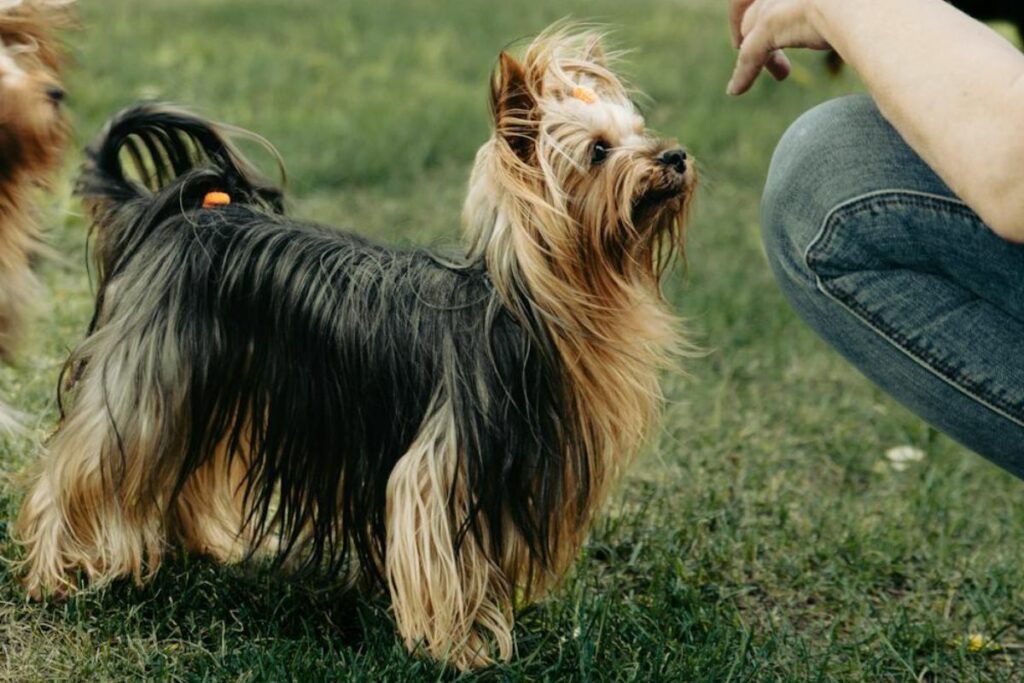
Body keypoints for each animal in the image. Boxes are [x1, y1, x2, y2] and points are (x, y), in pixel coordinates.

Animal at [18, 28, 696, 671]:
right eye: (599, 150)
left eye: (640, 131)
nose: (676, 155)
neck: (528, 304)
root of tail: (174, 214)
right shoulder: (440, 467)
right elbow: (440, 557)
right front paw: (458, 650)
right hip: (143, 381)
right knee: (77, 468)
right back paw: (53, 576)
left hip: (206, 381)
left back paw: (209, 545)